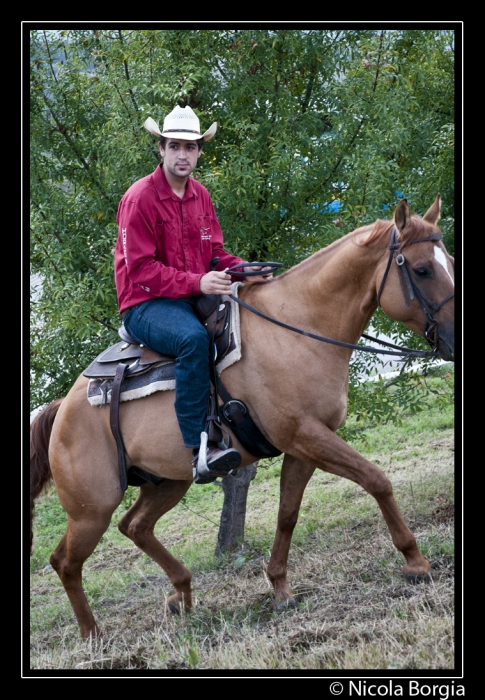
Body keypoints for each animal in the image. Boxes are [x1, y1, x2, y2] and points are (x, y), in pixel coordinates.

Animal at [30, 196, 454, 640]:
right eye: (422, 269)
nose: (453, 339)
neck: (298, 326)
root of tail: (62, 409)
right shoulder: (307, 436)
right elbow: (377, 480)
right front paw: (416, 562)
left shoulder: (302, 447)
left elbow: (287, 514)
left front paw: (280, 588)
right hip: (91, 508)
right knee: (65, 561)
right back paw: (93, 635)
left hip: (167, 482)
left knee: (135, 526)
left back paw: (181, 594)